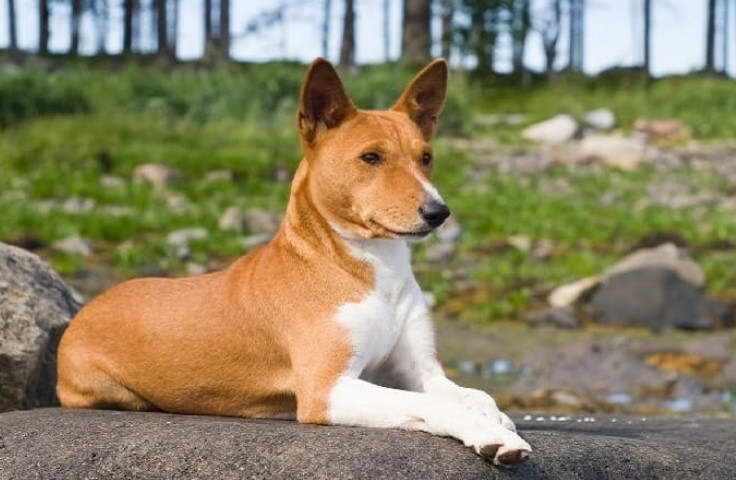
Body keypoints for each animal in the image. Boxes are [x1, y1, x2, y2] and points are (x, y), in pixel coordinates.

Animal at [56, 56, 528, 464]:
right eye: (371, 157)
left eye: (426, 158)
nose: (438, 212)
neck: (374, 272)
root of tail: (90, 305)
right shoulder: (328, 388)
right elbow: (435, 406)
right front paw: (490, 434)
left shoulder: (420, 371)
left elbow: (474, 395)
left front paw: (494, 416)